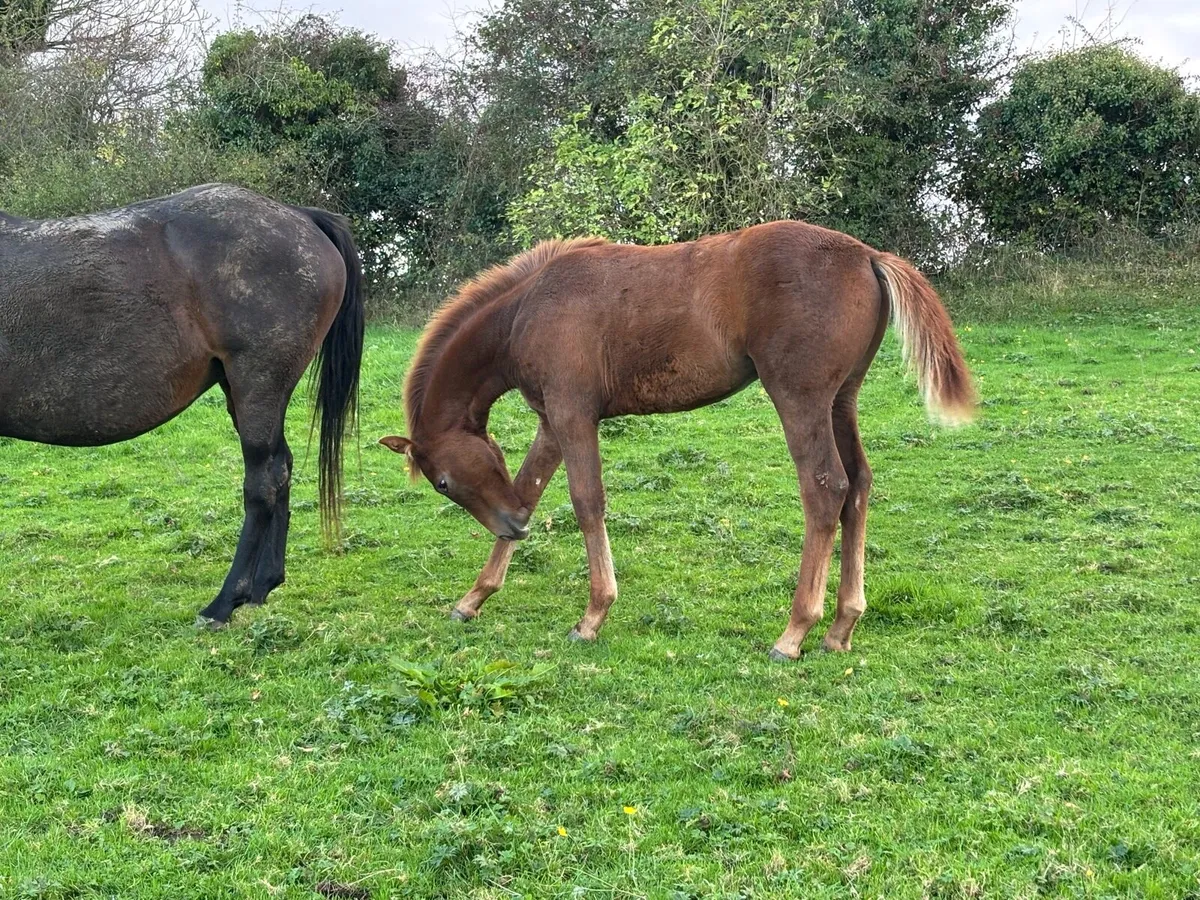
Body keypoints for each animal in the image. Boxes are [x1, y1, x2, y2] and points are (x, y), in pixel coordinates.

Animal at [0, 184, 365, 626]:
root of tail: (299, 216)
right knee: (282, 468)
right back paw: (262, 586)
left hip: (259, 384)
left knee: (263, 482)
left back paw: (224, 603)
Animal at [380, 220, 974, 659]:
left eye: (441, 482)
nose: (512, 529)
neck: (526, 309)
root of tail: (865, 254)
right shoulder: (551, 419)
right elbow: (529, 488)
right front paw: (473, 598)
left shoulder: (573, 412)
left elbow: (586, 501)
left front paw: (593, 616)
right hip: (841, 399)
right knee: (859, 487)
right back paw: (841, 626)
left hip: (800, 397)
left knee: (825, 487)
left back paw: (795, 632)